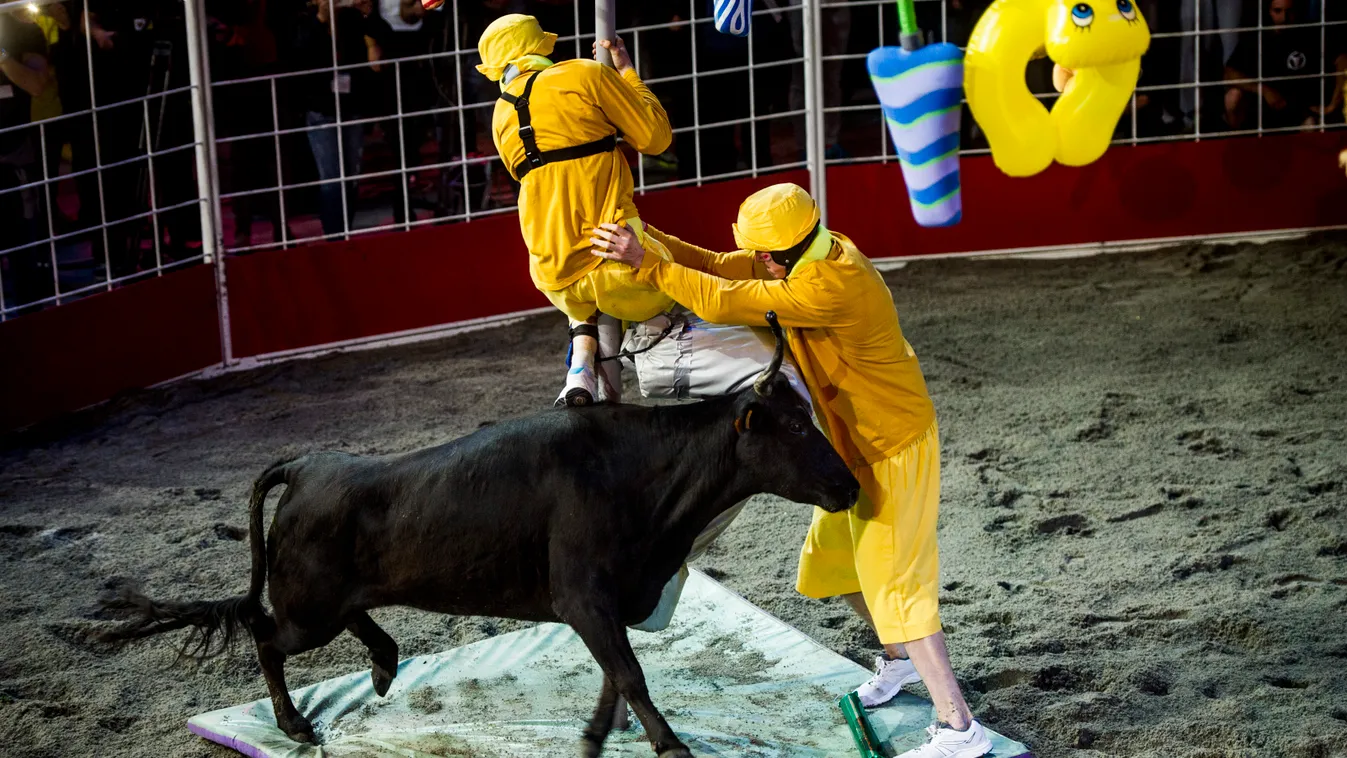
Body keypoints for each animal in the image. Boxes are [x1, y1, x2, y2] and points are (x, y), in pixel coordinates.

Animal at [105, 315, 862, 758]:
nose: (851, 487)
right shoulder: (583, 597)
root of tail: (311, 464)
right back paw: (297, 725)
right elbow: (629, 673)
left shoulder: (609, 602)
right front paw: (669, 745)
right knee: (267, 636)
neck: (641, 472)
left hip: (327, 599)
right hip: (306, 608)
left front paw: (596, 737)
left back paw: (384, 666)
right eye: (795, 428)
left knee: (353, 619)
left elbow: (615, 674)